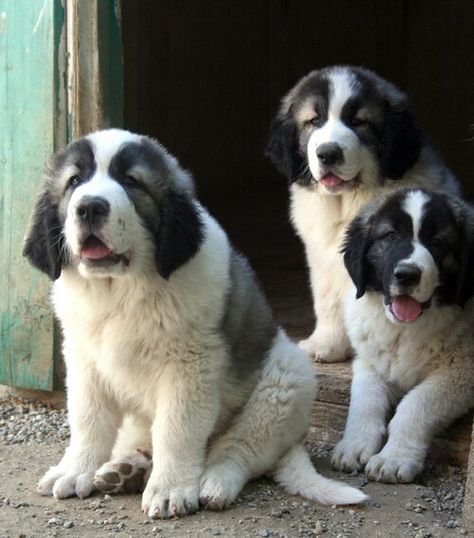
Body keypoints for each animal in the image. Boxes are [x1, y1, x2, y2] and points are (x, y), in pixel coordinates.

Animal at [23, 127, 366, 516]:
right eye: (74, 182)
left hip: (286, 380)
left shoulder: (190, 366)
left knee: (240, 447)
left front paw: (170, 489)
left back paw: (214, 481)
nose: (90, 206)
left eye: (131, 181)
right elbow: (87, 420)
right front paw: (74, 469)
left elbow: (177, 428)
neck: (121, 291)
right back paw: (128, 468)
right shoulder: (84, 360)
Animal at [264, 66, 458, 360]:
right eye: (314, 121)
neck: (347, 202)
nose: (328, 153)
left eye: (357, 122)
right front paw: (326, 344)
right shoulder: (322, 257)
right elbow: (327, 299)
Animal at [332, 188, 474, 482]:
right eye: (389, 236)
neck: (406, 330)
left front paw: (394, 457)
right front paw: (354, 444)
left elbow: (415, 405)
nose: (407, 274)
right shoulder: (369, 361)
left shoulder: (462, 371)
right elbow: (364, 401)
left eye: (437, 242)